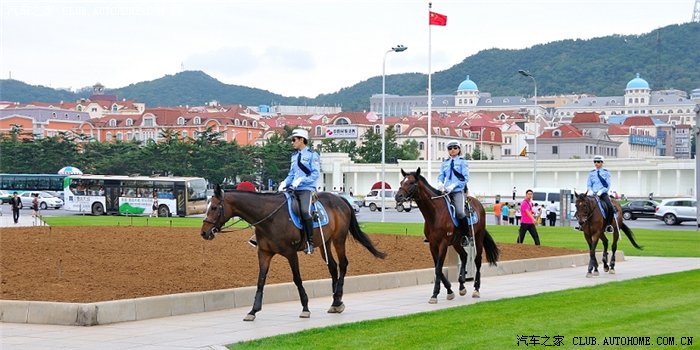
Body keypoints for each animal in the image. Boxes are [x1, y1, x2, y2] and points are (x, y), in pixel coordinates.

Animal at [201, 185, 388, 322]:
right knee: (333, 267)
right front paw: (253, 310)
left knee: (342, 264)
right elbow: (261, 280)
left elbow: (297, 279)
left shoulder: (291, 253)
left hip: (338, 240)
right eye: (207, 206)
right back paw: (336, 301)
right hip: (324, 243)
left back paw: (337, 298)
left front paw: (305, 307)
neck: (269, 218)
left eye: (215, 207)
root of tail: (340, 199)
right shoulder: (264, 253)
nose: (204, 232)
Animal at [394, 167, 498, 304]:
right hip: (456, 242)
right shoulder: (432, 245)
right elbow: (437, 268)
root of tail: (479, 204)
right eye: (402, 182)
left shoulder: (443, 243)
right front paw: (449, 290)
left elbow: (438, 268)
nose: (398, 196)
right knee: (464, 256)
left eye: (411, 183)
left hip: (478, 238)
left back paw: (476, 289)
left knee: (477, 261)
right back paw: (462, 285)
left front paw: (435, 294)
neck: (435, 213)